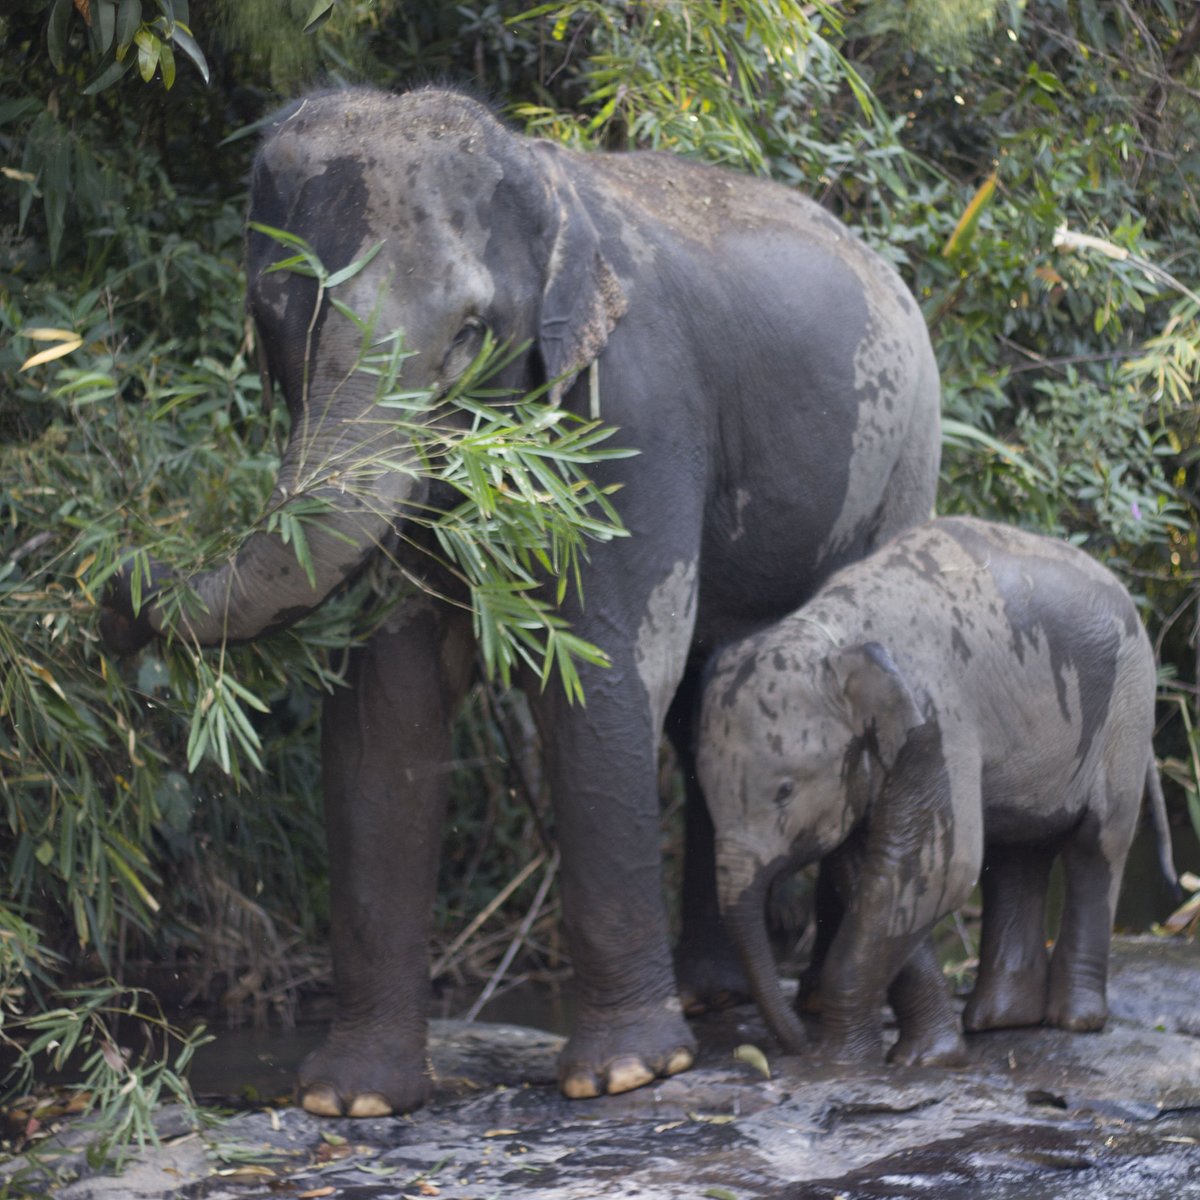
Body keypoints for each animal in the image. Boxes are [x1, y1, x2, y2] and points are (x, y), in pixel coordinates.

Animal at [100, 88, 945, 1118]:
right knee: (712, 701)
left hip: (903, 458)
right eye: (272, 312)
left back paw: (801, 1000)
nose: (118, 588)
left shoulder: (636, 405)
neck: (541, 179)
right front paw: (352, 1100)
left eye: (470, 329)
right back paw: (715, 995)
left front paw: (626, 1076)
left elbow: (603, 662)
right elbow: (386, 700)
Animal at [700, 516, 1176, 1070]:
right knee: (1018, 853)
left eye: (784, 790)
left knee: (1094, 846)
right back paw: (998, 1021)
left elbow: (935, 871)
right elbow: (875, 873)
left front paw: (838, 1062)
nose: (788, 1047)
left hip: (1127, 707)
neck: (834, 637)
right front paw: (920, 1057)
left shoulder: (938, 717)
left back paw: (1072, 1022)